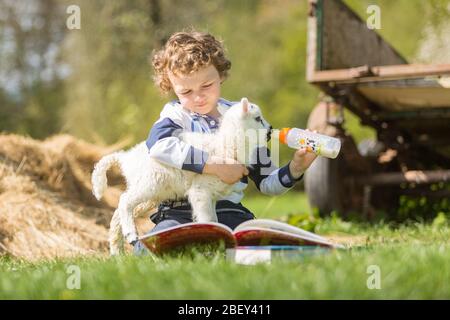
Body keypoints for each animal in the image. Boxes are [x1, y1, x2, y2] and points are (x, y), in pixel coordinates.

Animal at [91, 97, 270, 255]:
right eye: (258, 118)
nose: (270, 131)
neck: (227, 145)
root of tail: (125, 158)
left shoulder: (211, 195)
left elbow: (212, 218)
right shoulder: (200, 191)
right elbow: (208, 219)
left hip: (151, 191)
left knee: (116, 214)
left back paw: (117, 252)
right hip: (149, 183)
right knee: (124, 201)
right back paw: (131, 234)